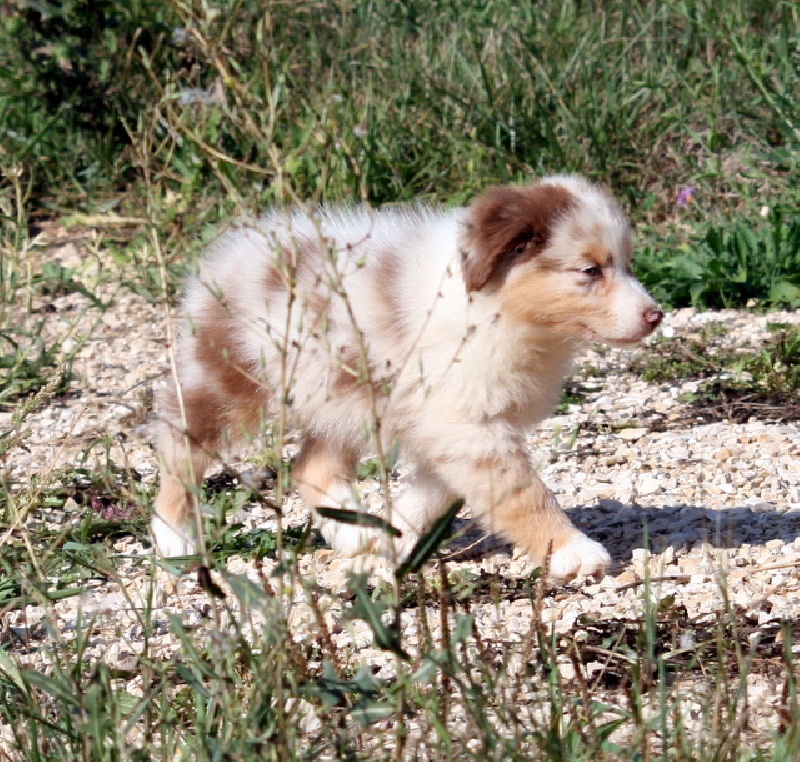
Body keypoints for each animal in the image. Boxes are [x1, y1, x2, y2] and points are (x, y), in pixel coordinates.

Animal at [152, 175, 662, 582]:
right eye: (590, 270)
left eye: (627, 264)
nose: (655, 315)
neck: (502, 310)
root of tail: (230, 251)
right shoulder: (466, 425)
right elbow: (523, 493)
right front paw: (572, 552)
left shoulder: (453, 426)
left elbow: (433, 495)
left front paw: (391, 538)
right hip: (226, 381)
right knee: (180, 450)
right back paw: (174, 540)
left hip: (342, 396)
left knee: (311, 468)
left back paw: (353, 531)